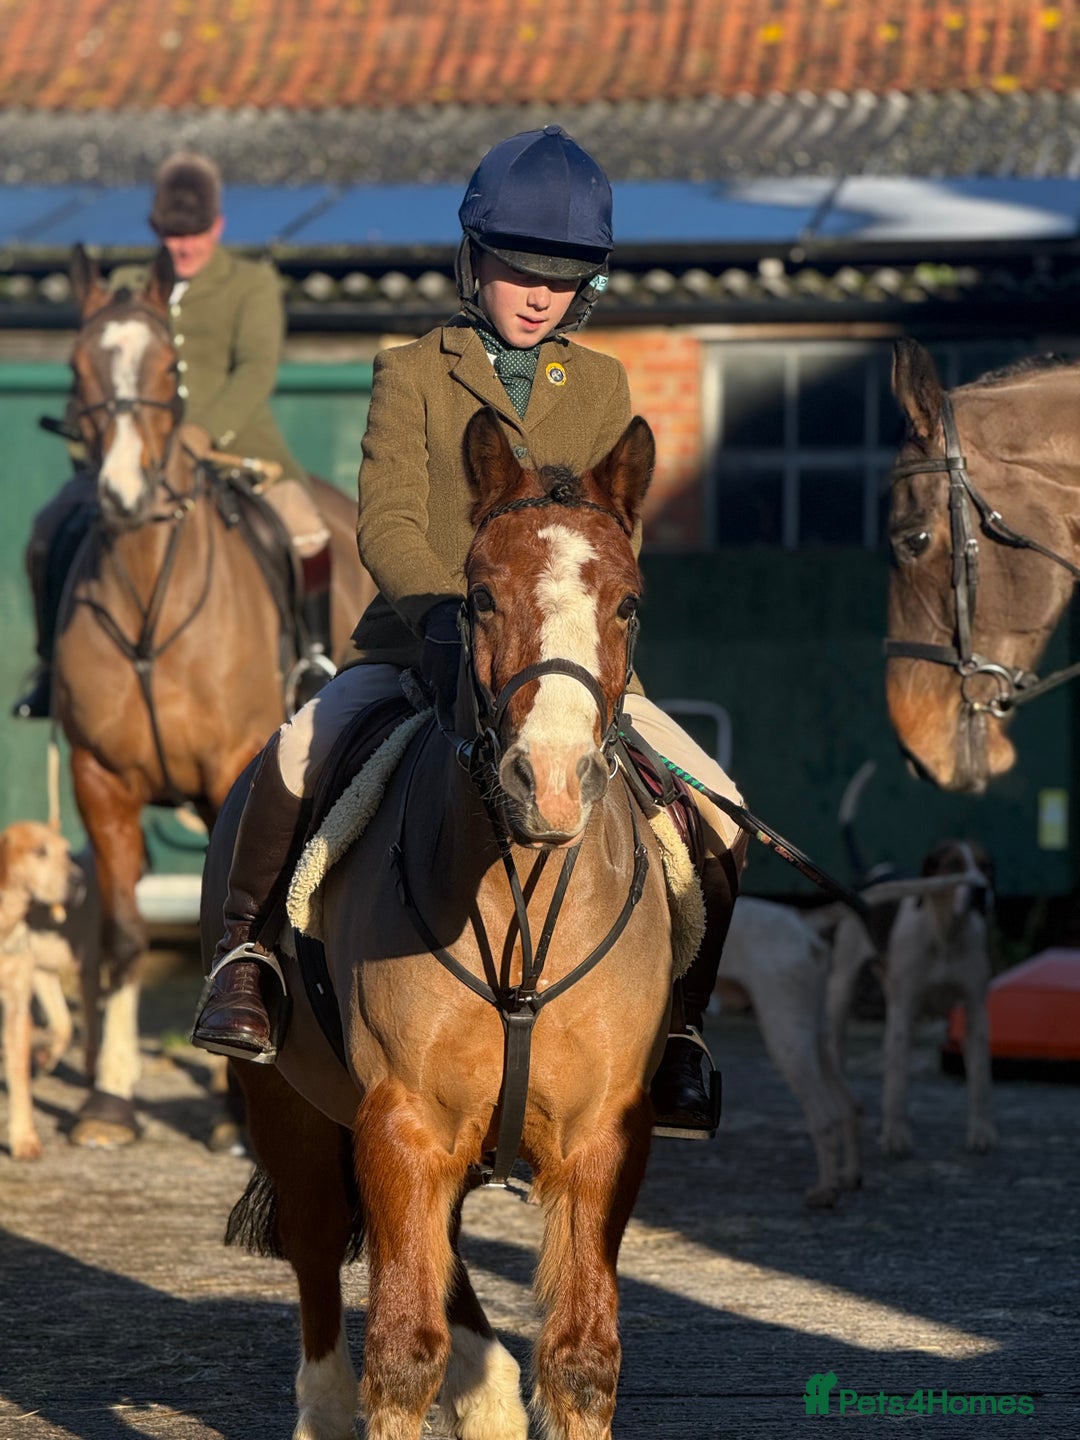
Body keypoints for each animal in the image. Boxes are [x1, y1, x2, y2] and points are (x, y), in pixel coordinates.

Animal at [51, 244, 375, 1147]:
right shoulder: (99, 778)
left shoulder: (232, 768)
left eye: (170, 366)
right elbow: (126, 936)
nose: (124, 495)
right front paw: (107, 1103)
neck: (147, 602)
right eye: (77, 365)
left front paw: (239, 1114)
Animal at [203, 408, 687, 1440]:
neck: (520, 902)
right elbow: (399, 1354)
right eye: (479, 598)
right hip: (291, 1109)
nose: (549, 782)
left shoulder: (603, 1134)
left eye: (628, 604)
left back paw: (490, 1390)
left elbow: (581, 1359)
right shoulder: (401, 1122)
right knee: (322, 1253)